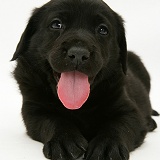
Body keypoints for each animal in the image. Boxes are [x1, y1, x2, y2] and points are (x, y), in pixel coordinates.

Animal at [11, 0, 158, 160]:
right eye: (56, 24)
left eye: (102, 30)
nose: (78, 53)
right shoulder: (34, 110)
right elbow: (53, 120)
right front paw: (65, 141)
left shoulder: (129, 110)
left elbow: (119, 125)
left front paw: (107, 146)